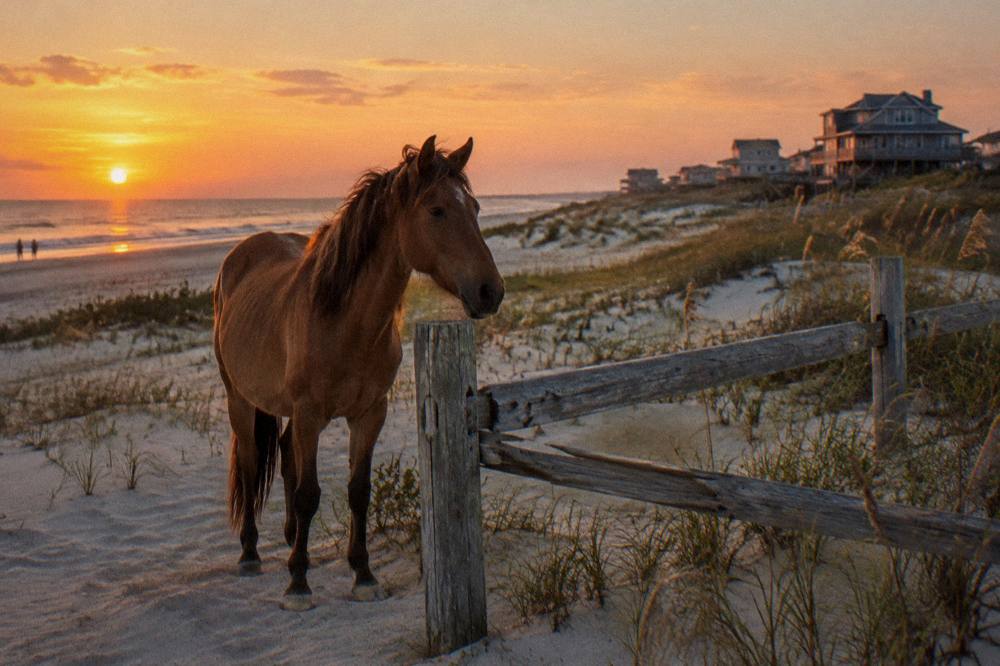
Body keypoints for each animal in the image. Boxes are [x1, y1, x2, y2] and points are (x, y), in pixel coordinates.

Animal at [212, 135, 503, 610]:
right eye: (437, 210)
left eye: (476, 208)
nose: (490, 291)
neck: (344, 321)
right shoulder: (310, 414)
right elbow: (309, 493)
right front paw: (298, 584)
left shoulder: (369, 414)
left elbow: (357, 491)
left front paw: (362, 574)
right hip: (240, 399)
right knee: (254, 463)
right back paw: (251, 553)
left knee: (285, 454)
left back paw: (291, 540)